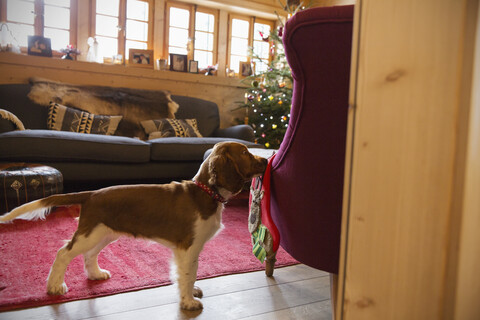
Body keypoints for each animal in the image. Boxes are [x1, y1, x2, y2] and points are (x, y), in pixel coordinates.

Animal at [0, 142, 266, 310]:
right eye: (245, 152)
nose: (265, 159)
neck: (205, 193)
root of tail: (91, 194)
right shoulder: (187, 246)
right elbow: (187, 274)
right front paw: (188, 302)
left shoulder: (192, 248)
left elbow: (191, 273)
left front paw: (192, 292)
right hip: (91, 233)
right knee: (63, 253)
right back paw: (55, 286)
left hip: (105, 232)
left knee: (89, 254)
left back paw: (95, 274)